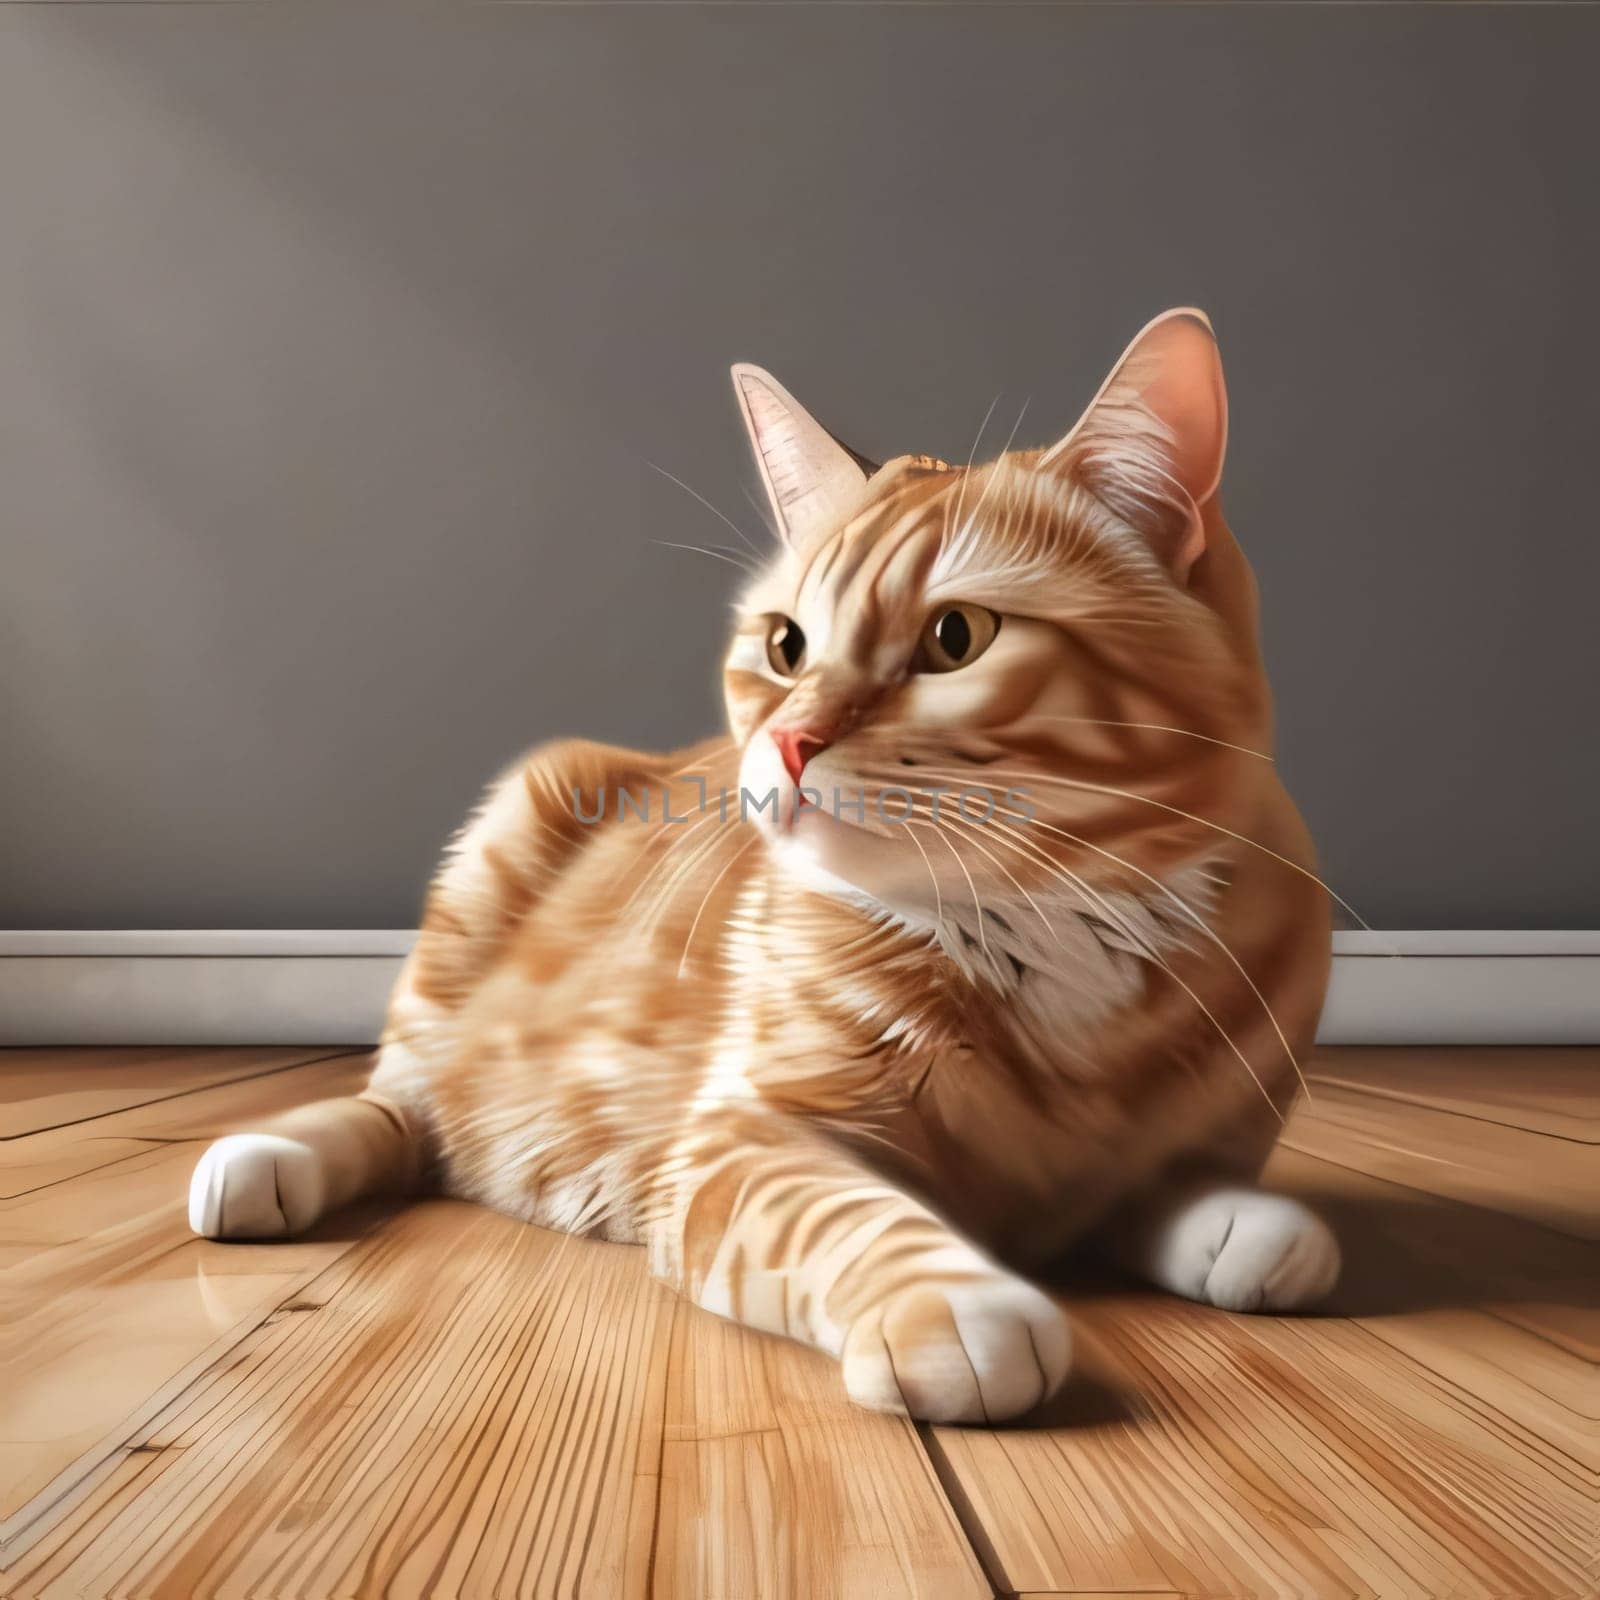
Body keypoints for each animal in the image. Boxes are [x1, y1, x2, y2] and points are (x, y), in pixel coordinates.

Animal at [187, 312, 1337, 1427]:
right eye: (786, 647)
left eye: (956, 636)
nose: (788, 742)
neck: (1050, 936)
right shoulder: (745, 1142)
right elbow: (847, 1217)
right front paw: (954, 1302)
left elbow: (1176, 1184)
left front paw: (1237, 1222)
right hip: (511, 826)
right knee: (403, 1099)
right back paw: (269, 1160)